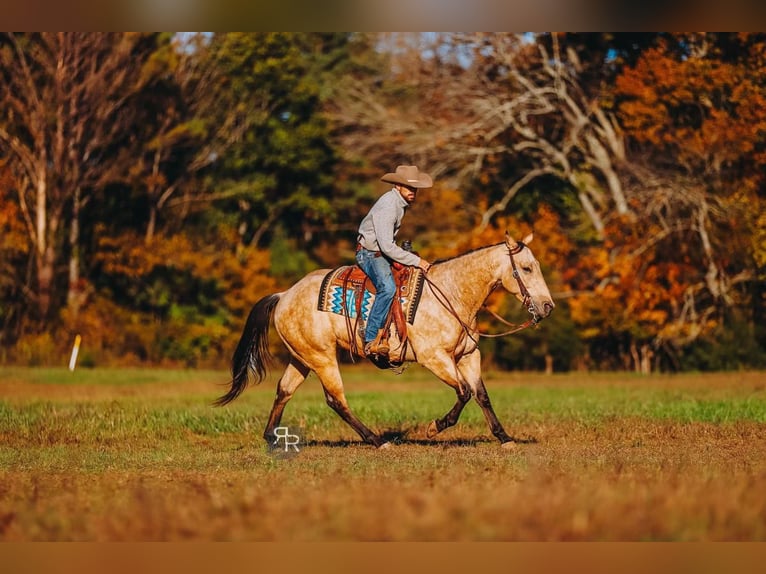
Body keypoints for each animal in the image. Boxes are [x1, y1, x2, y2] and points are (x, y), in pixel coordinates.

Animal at [215, 232, 555, 449]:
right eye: (526, 268)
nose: (547, 306)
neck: (451, 293)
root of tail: (284, 294)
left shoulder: (468, 355)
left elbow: (481, 395)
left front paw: (504, 437)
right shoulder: (435, 358)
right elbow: (464, 392)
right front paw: (434, 428)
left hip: (302, 357)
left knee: (284, 390)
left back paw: (272, 437)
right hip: (322, 357)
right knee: (336, 399)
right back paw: (377, 441)